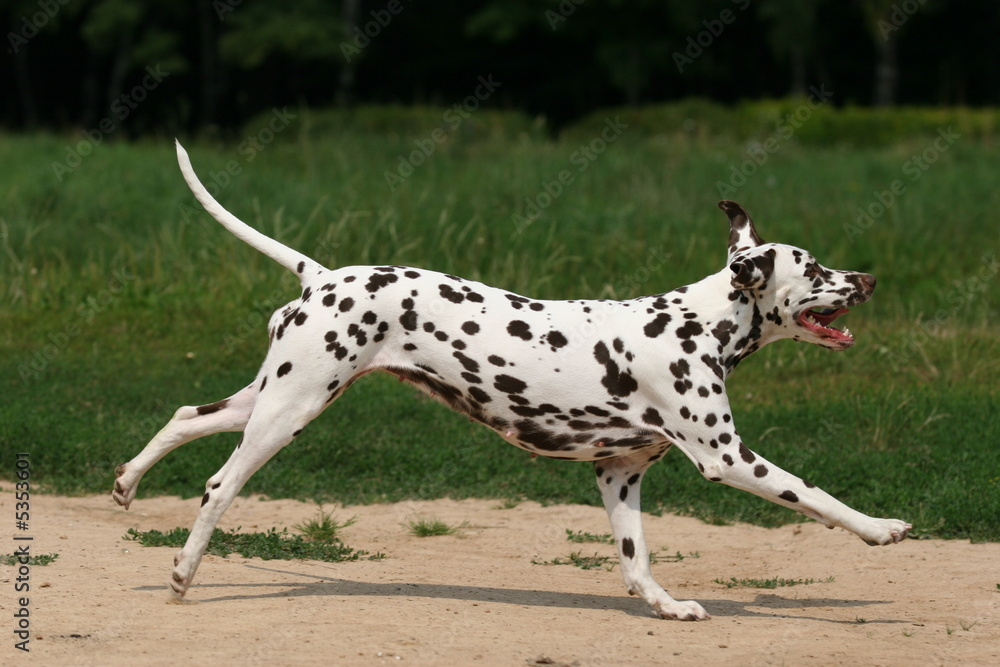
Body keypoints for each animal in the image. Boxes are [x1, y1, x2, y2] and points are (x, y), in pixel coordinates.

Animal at [113, 141, 912, 620]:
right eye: (815, 268)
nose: (872, 278)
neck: (694, 323)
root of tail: (323, 274)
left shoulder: (619, 475)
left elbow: (636, 561)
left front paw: (665, 605)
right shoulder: (729, 459)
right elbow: (815, 495)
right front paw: (882, 528)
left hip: (271, 398)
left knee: (185, 415)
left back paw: (125, 484)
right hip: (287, 415)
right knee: (218, 485)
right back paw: (182, 573)